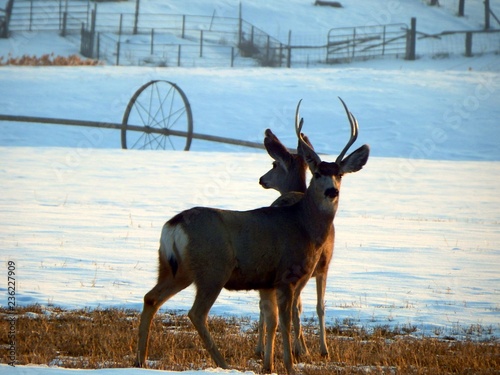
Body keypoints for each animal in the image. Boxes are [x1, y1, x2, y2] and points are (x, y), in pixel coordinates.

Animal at [135, 98, 370, 374]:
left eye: (340, 174)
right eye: (317, 173)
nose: (332, 191)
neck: (304, 226)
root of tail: (173, 225)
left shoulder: (266, 282)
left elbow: (272, 320)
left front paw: (269, 365)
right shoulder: (287, 275)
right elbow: (286, 322)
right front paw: (290, 365)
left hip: (174, 268)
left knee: (151, 298)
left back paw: (140, 360)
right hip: (212, 270)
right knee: (196, 313)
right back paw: (223, 363)